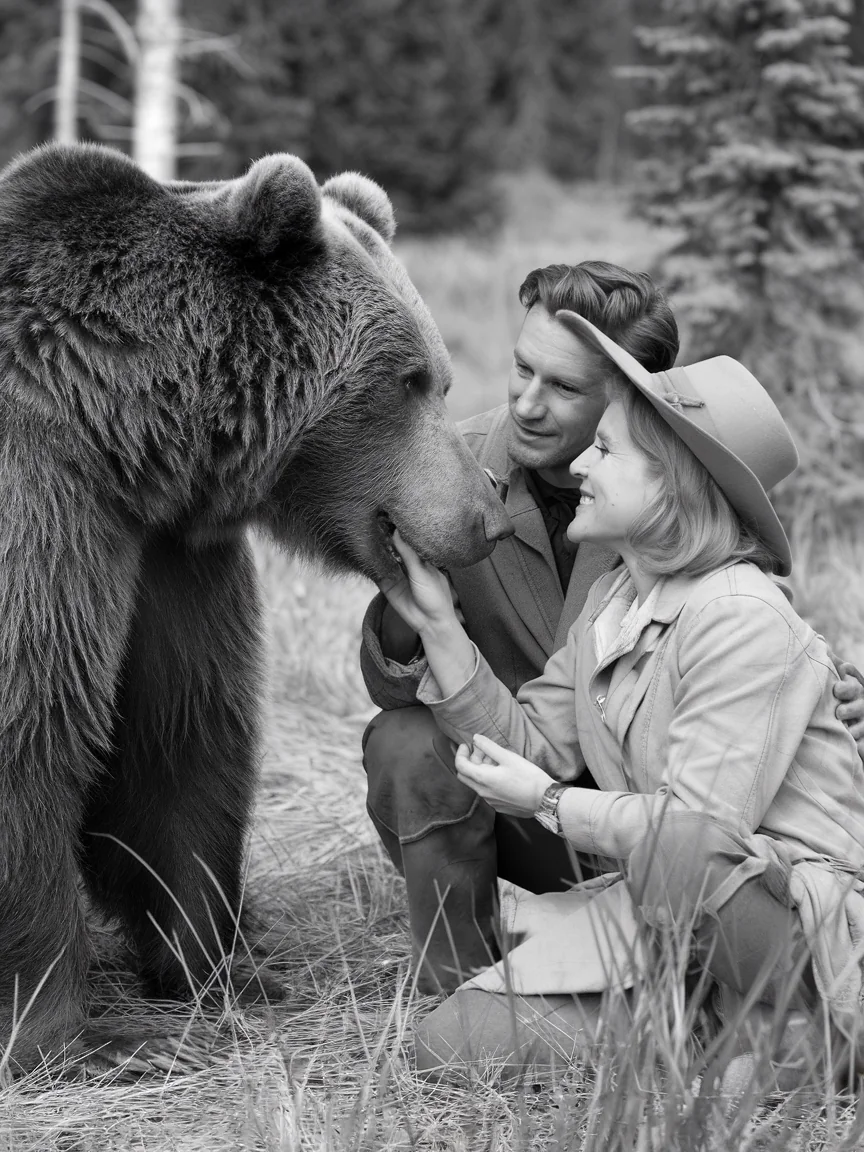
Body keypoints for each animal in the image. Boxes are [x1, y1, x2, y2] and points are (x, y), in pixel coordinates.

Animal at [0, 144, 513, 1069]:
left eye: (442, 378)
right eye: (410, 380)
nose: (487, 516)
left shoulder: (171, 555)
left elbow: (181, 733)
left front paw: (217, 968)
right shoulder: (46, 502)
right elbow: (34, 723)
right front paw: (80, 1035)